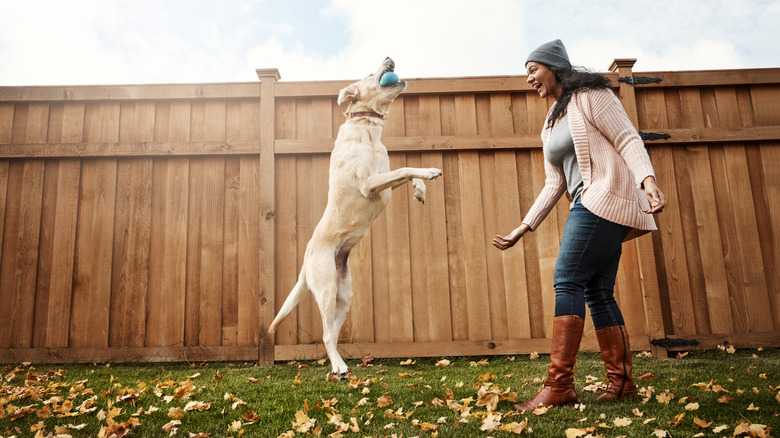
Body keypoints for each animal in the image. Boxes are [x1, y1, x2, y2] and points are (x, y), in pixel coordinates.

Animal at [268, 58, 442, 378]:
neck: (367, 129)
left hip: (344, 295)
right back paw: (338, 367)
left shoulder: (382, 180)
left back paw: (340, 361)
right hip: (326, 289)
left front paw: (420, 189)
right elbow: (406, 167)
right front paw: (429, 173)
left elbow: (405, 170)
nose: (389, 59)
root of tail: (306, 260)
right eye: (371, 73)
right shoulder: (369, 183)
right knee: (325, 334)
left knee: (334, 334)